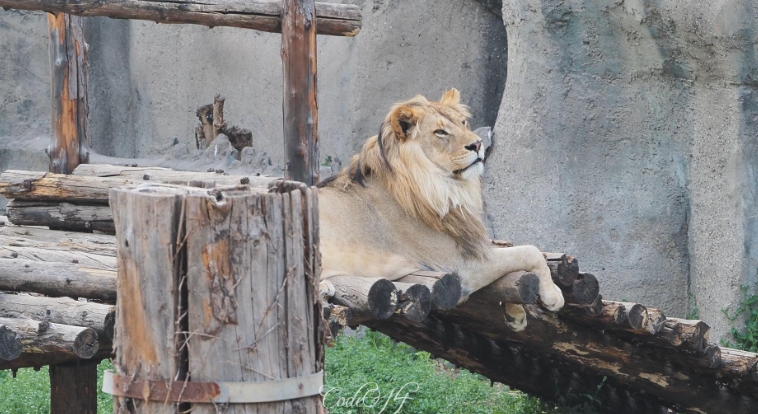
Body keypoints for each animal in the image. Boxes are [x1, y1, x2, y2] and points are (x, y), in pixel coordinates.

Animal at [314, 88, 564, 330]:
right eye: (440, 132)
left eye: (463, 122)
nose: (478, 144)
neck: (447, 188)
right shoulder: (461, 267)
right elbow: (530, 251)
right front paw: (553, 296)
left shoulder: (473, 244)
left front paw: (515, 314)